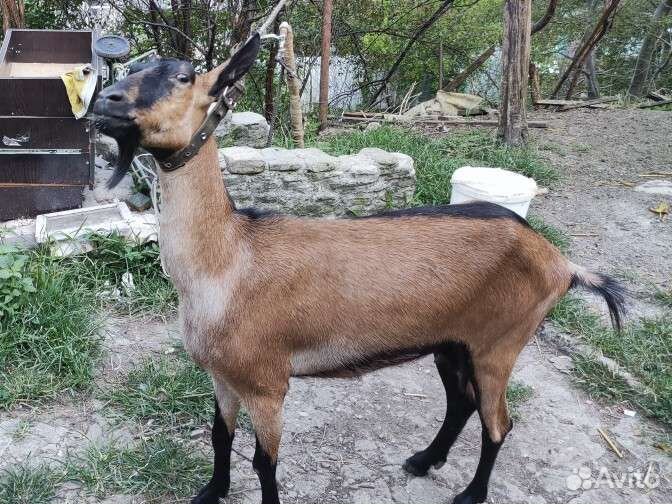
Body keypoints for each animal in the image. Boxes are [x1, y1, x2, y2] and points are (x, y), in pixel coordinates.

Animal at [93, 34, 625, 504]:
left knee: (498, 423)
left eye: (182, 77)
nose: (105, 100)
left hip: (500, 344)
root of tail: (560, 261)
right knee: (462, 404)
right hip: (454, 341)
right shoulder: (223, 376)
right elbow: (219, 437)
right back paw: (423, 460)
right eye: (133, 67)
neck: (227, 262)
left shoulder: (267, 383)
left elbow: (264, 463)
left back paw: (470, 493)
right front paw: (210, 493)